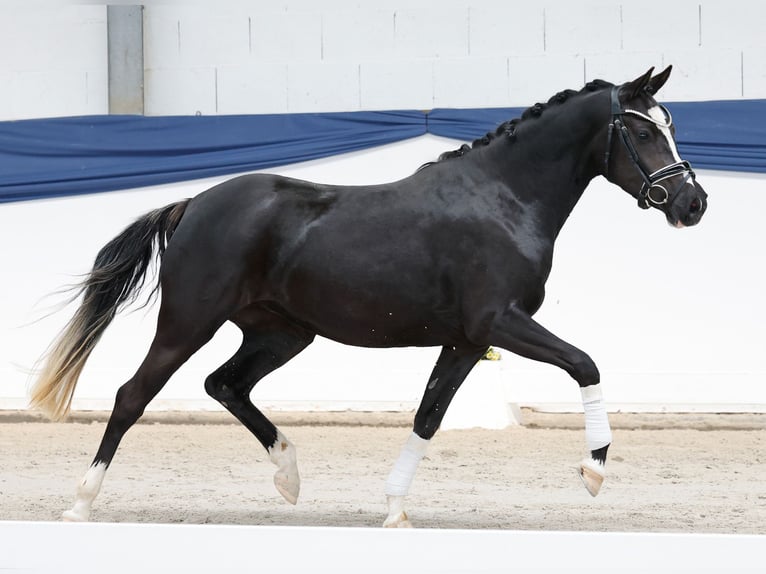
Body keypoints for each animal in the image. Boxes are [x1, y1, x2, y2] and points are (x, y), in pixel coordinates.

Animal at [30, 66, 708, 527]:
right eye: (641, 129)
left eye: (671, 125)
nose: (692, 203)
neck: (504, 199)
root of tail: (194, 203)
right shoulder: (499, 322)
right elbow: (584, 363)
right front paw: (594, 470)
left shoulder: (468, 340)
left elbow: (428, 416)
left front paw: (394, 509)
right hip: (187, 322)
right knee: (133, 395)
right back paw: (81, 505)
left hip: (281, 332)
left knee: (225, 384)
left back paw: (289, 476)